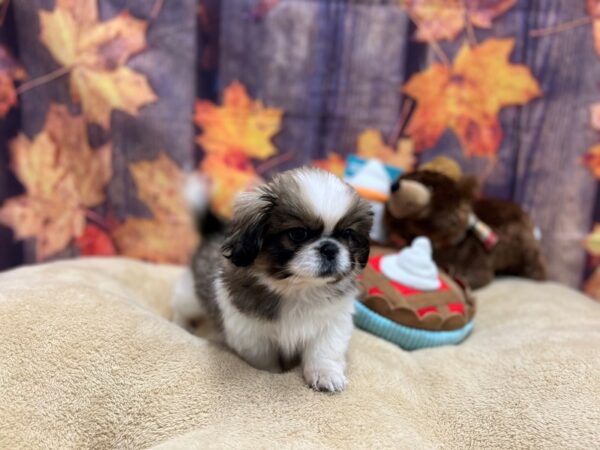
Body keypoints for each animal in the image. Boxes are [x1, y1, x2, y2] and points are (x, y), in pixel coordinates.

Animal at [171, 167, 372, 392]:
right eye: (298, 234)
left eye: (348, 235)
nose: (330, 248)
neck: (298, 290)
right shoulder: (251, 335)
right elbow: (266, 361)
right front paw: (273, 375)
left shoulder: (334, 321)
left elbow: (324, 351)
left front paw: (325, 374)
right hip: (191, 296)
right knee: (182, 307)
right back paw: (181, 325)